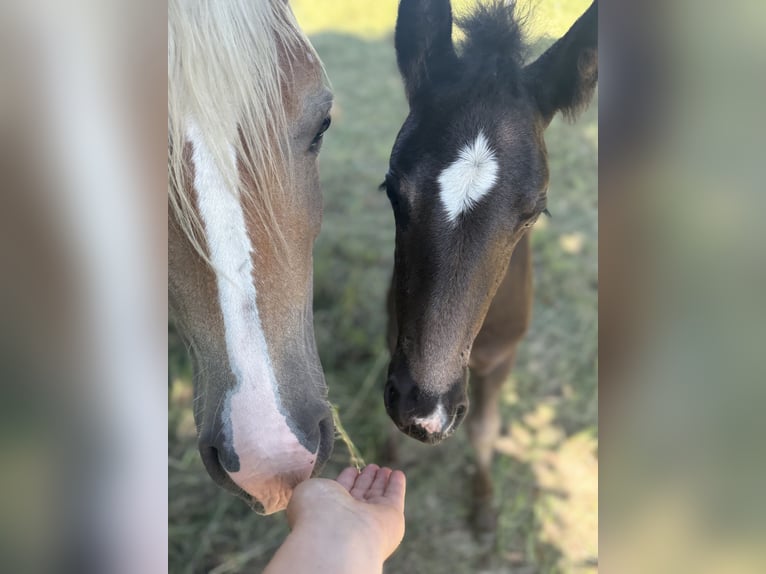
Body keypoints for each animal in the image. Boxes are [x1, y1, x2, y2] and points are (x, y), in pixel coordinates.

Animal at [382, 0, 598, 529]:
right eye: (392, 189)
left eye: (534, 212)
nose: (426, 412)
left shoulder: (502, 357)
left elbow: (485, 428)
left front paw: (482, 506)